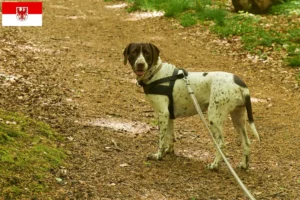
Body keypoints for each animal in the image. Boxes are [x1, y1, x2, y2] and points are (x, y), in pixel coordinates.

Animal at [123, 43, 258, 170]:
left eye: (146, 53)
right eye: (134, 52)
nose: (140, 64)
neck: (157, 73)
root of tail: (241, 85)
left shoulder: (162, 113)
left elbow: (161, 138)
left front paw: (158, 155)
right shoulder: (169, 115)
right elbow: (170, 136)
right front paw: (168, 151)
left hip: (214, 117)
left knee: (221, 143)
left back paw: (214, 165)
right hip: (238, 118)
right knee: (246, 142)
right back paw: (244, 165)